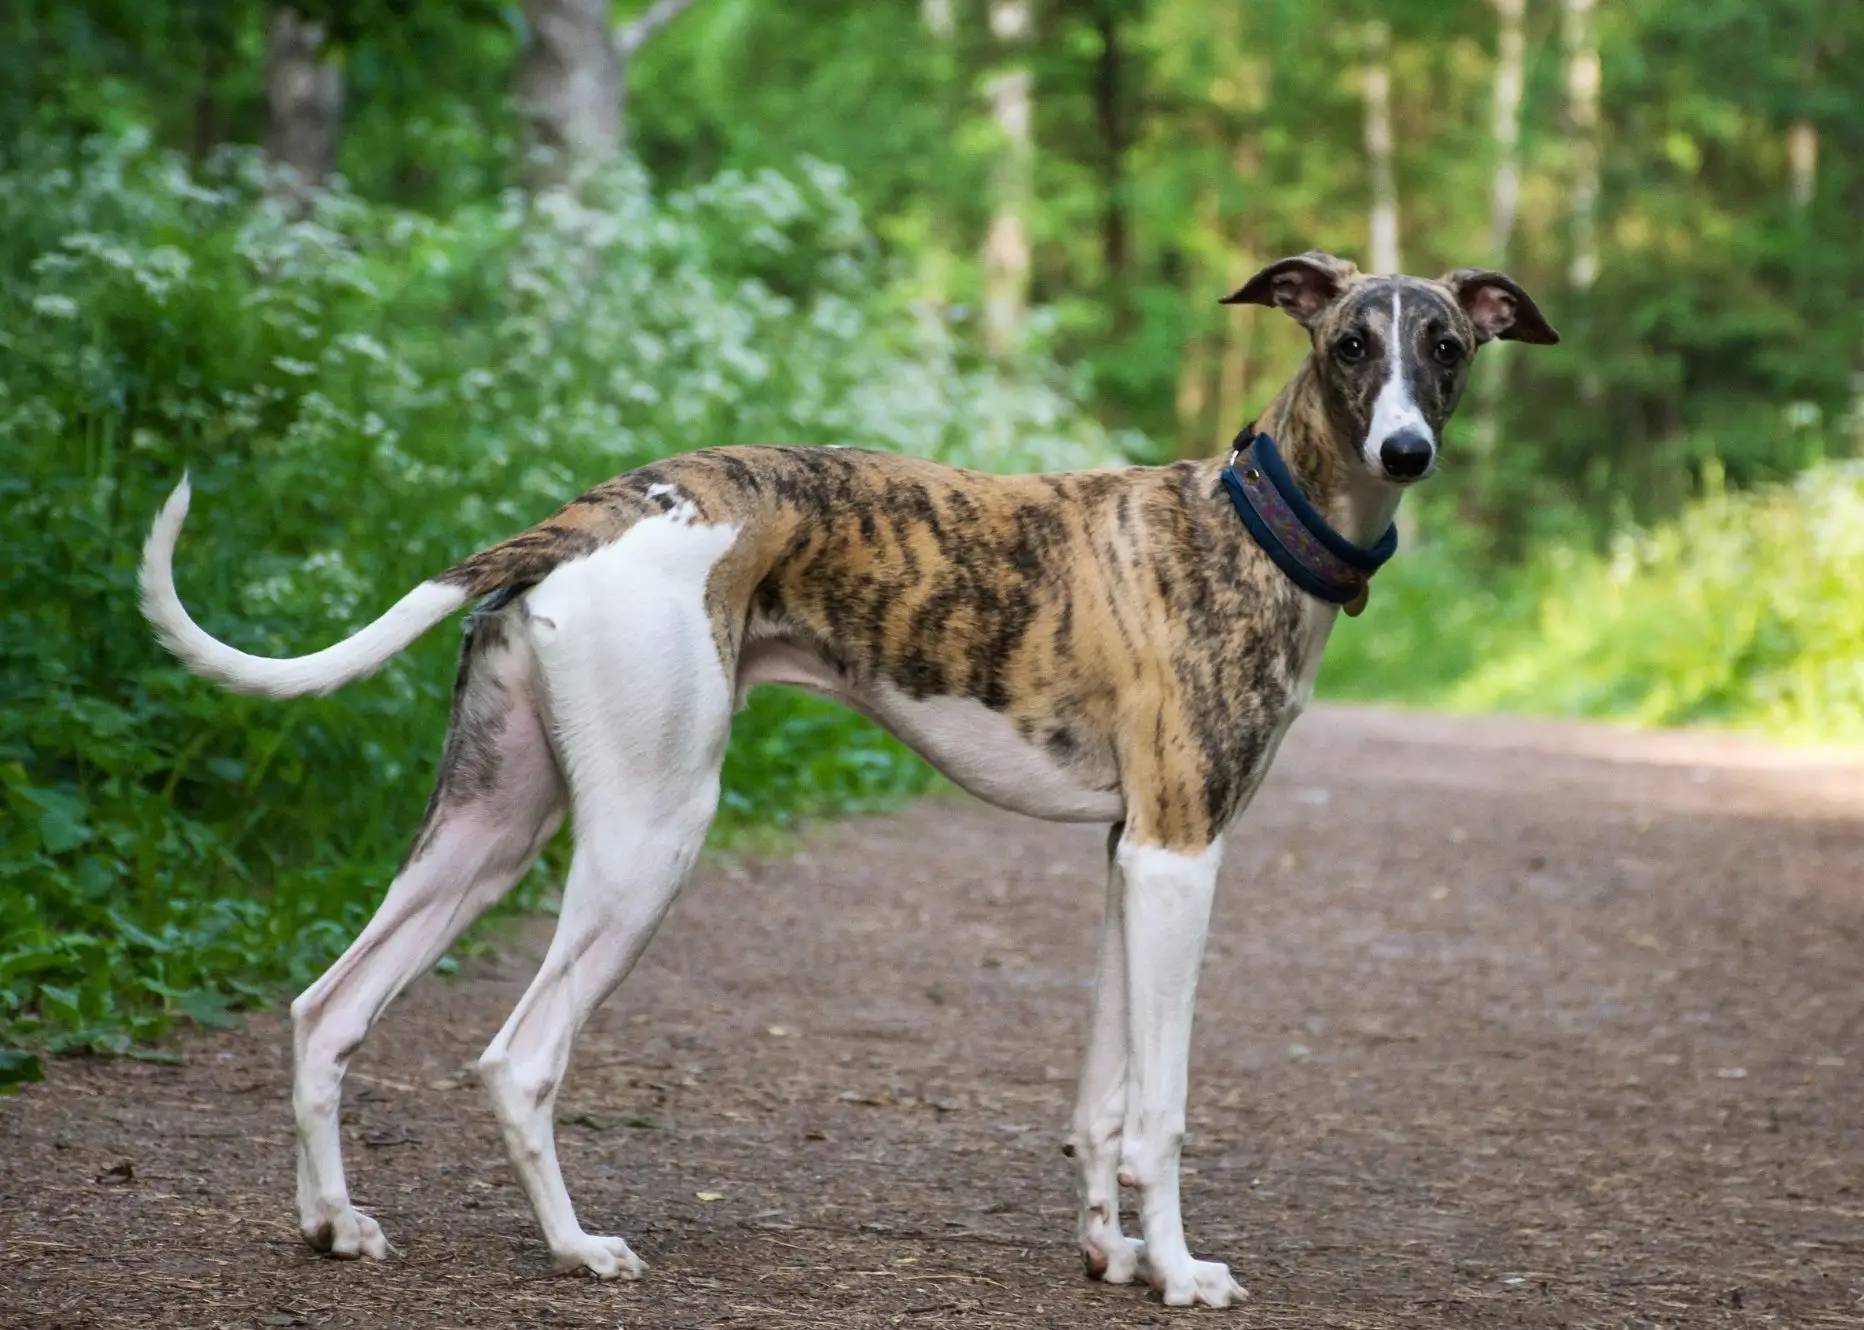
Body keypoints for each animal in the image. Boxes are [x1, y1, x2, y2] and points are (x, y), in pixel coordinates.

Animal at [135, 251, 1558, 1303]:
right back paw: (577, 1247)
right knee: (517, 1056)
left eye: (1444, 347)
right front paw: (1177, 1269)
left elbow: (1100, 1097)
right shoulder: (1179, 856)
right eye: (1348, 348)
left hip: (488, 826)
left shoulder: (1127, 856)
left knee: (326, 1008)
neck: (1252, 523)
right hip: (651, 835)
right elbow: (1159, 1105)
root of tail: (601, 509)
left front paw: (1105, 1249)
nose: (1407, 451)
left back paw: (335, 1223)